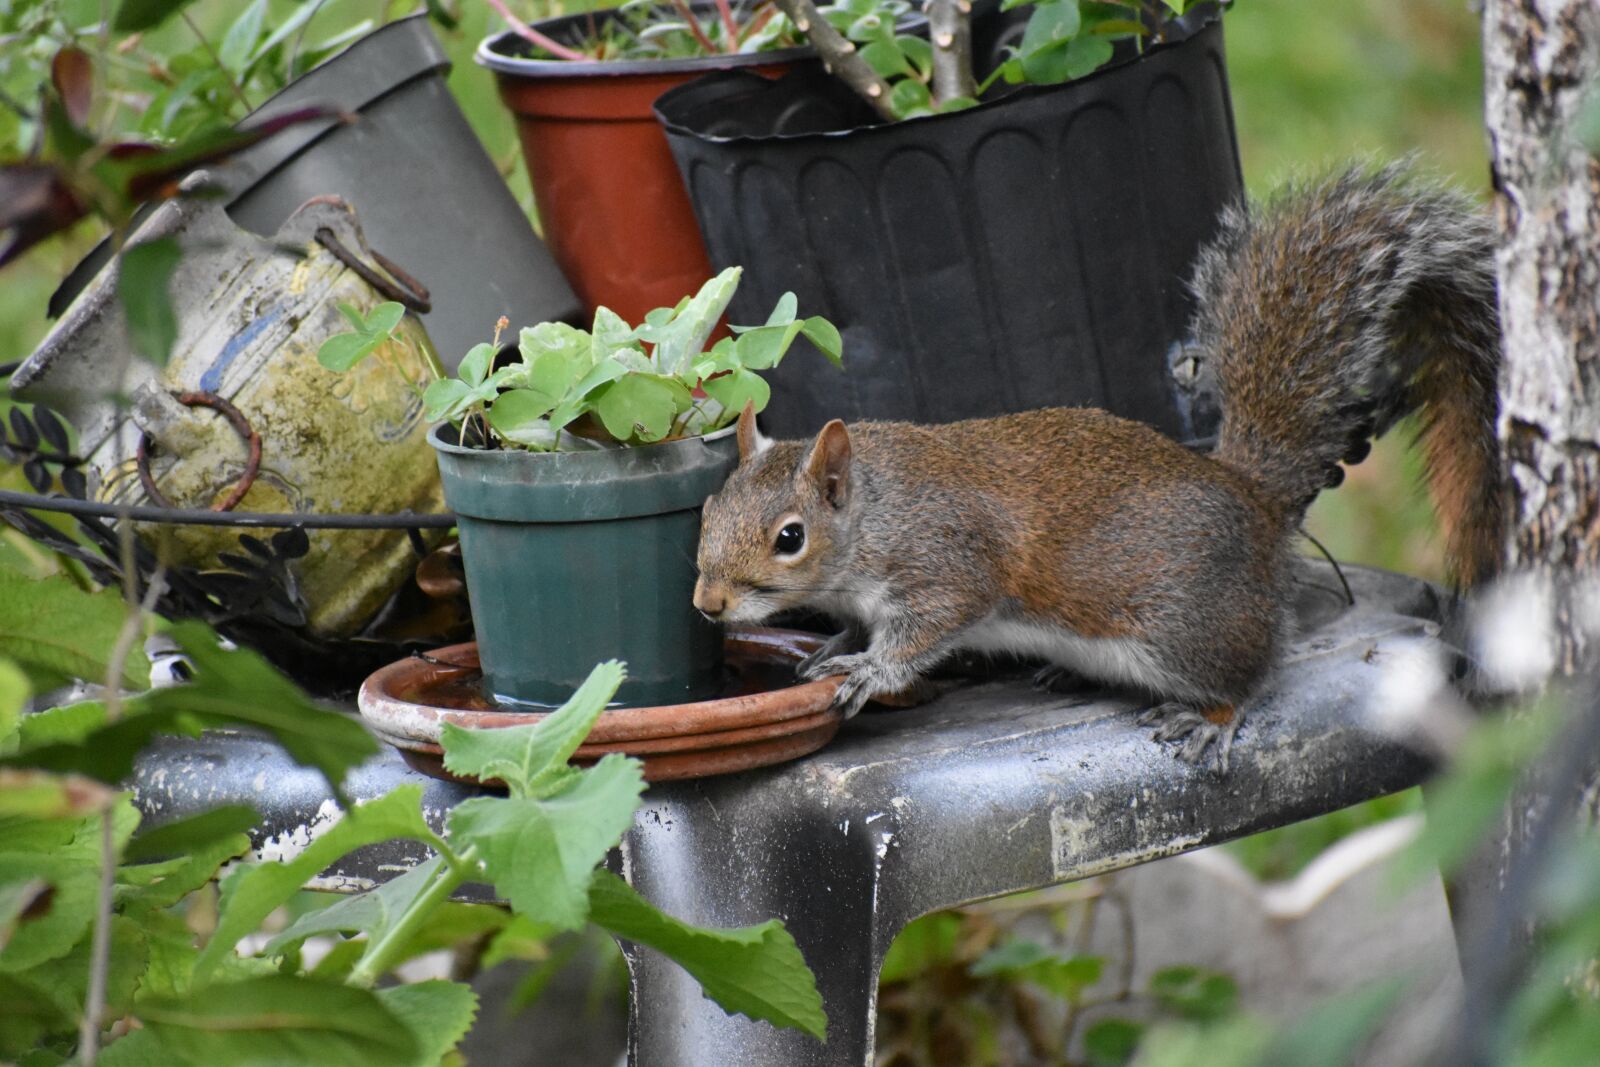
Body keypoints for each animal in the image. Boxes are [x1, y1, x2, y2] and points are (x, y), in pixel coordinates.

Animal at [692, 163, 1503, 769]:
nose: (708, 604)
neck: (875, 507)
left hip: (1185, 628)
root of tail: (1255, 498)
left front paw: (866, 668)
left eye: (789, 537)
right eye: (709, 507)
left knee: (1250, 671)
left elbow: (927, 630)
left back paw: (1213, 715)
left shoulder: (947, 562)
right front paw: (835, 643)